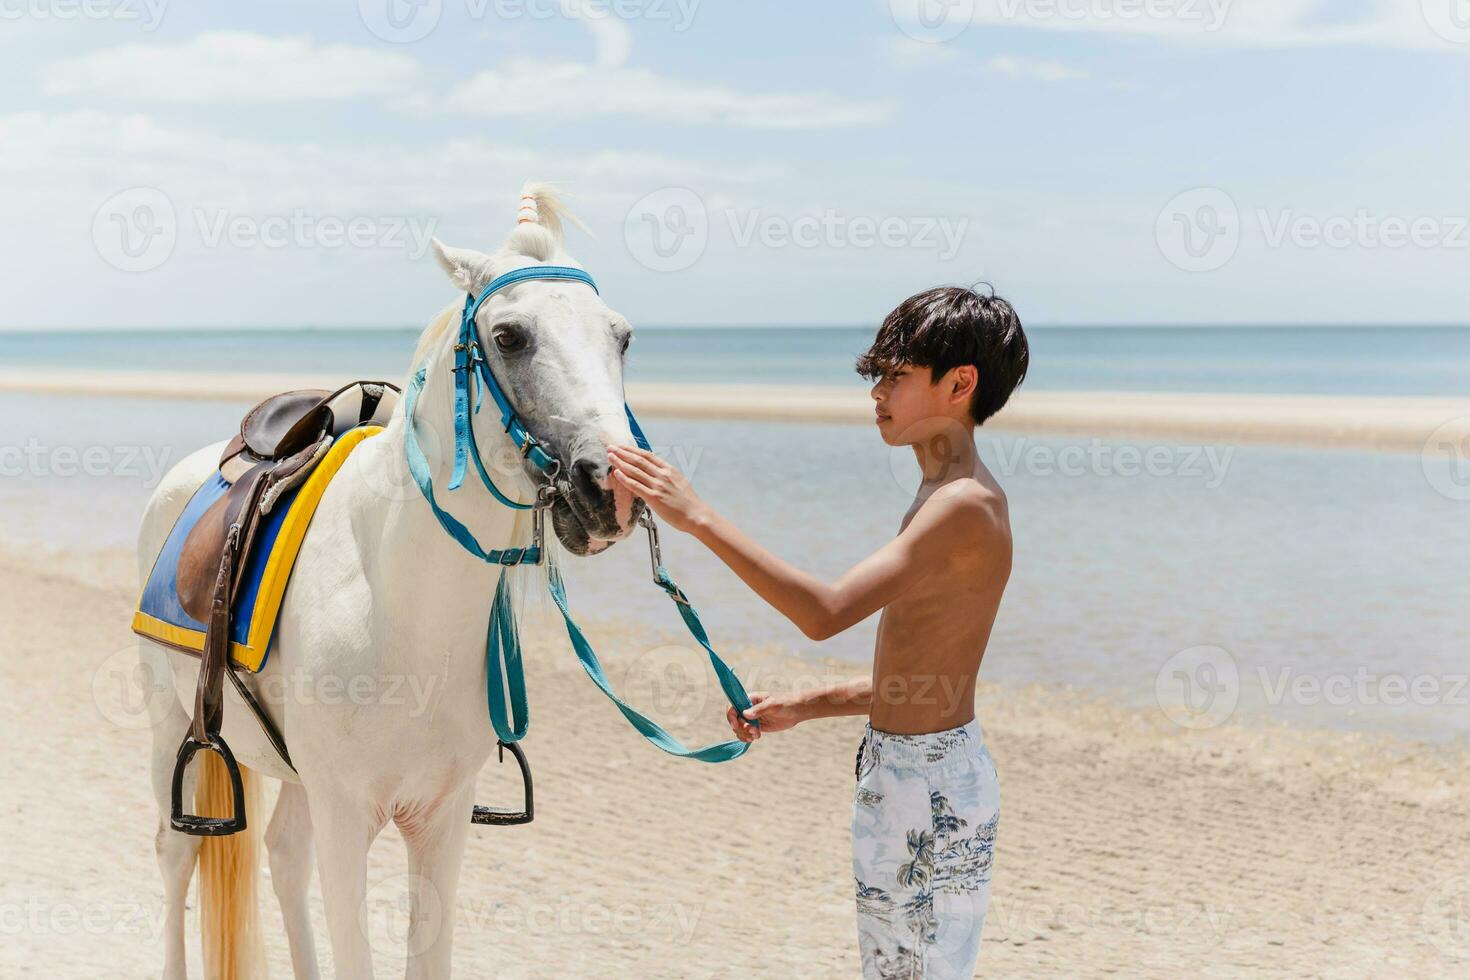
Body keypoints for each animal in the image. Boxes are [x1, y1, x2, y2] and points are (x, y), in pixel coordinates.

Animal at [133, 182, 643, 975]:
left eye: (620, 338)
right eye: (509, 337)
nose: (611, 487)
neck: (404, 610)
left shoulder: (439, 821)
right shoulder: (348, 818)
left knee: (284, 854)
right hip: (169, 732)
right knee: (174, 854)